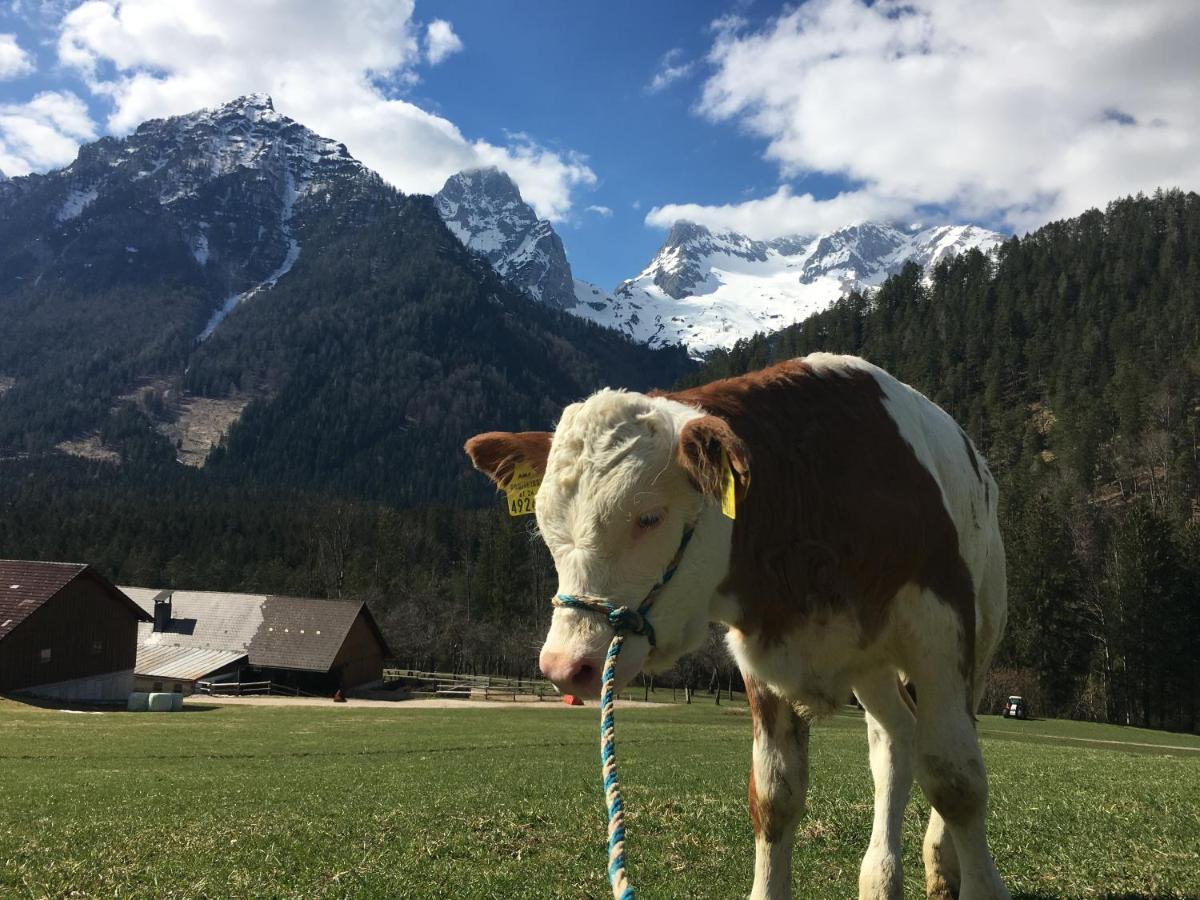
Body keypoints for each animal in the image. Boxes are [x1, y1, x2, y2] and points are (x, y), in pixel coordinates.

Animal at [463, 355, 1008, 897]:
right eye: (543, 523)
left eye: (650, 517)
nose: (564, 665)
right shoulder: (761, 657)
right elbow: (774, 795)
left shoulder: (942, 627)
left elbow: (957, 781)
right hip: (869, 666)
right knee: (894, 741)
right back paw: (880, 876)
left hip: (979, 644)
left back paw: (939, 862)